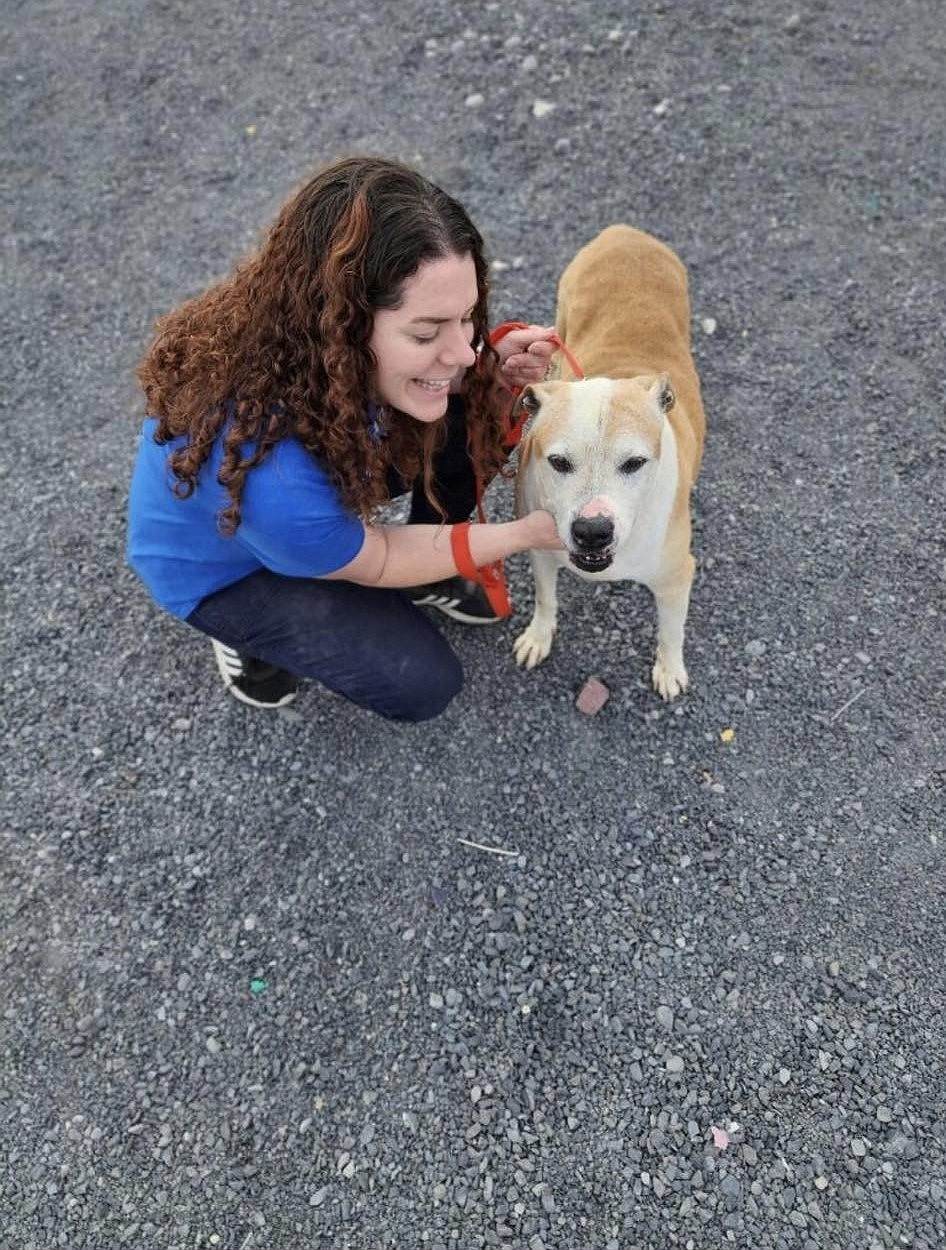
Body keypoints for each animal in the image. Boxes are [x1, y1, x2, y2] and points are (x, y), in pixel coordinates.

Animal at [512, 222, 704, 695]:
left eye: (634, 463)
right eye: (558, 462)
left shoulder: (677, 577)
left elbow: (671, 631)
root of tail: (624, 231)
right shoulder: (540, 551)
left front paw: (669, 668)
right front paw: (538, 636)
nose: (593, 531)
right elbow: (545, 598)